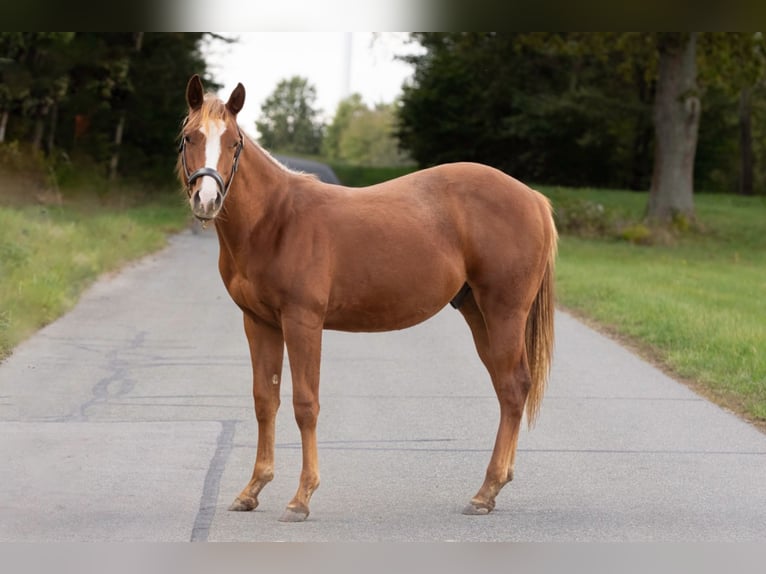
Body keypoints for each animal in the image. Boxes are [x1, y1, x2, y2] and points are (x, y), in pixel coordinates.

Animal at [182, 74, 564, 524]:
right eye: (190, 137)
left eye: (233, 142)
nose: (207, 200)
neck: (275, 220)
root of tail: (533, 198)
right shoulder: (259, 323)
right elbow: (265, 401)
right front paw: (252, 490)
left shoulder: (302, 321)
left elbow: (305, 404)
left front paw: (301, 498)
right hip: (477, 312)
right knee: (507, 388)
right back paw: (493, 487)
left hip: (504, 311)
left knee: (514, 385)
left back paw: (485, 492)